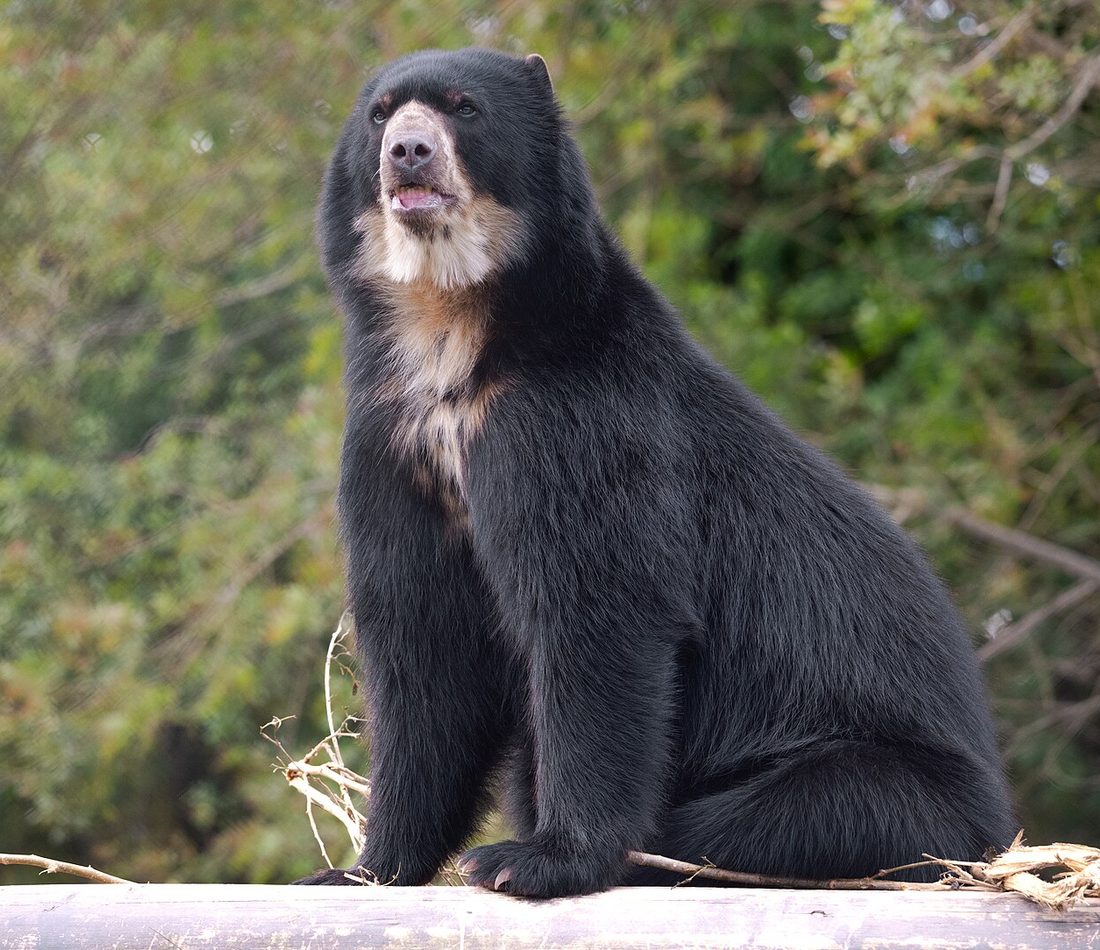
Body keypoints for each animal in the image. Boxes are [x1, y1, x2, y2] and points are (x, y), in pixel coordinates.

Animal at [296, 47, 1015, 898]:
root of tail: (996, 828)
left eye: (463, 107)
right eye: (379, 114)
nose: (408, 151)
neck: (454, 332)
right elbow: (421, 644)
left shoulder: (578, 425)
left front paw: (532, 860)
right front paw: (361, 871)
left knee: (774, 816)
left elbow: (601, 609)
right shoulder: (391, 446)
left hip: (891, 790)